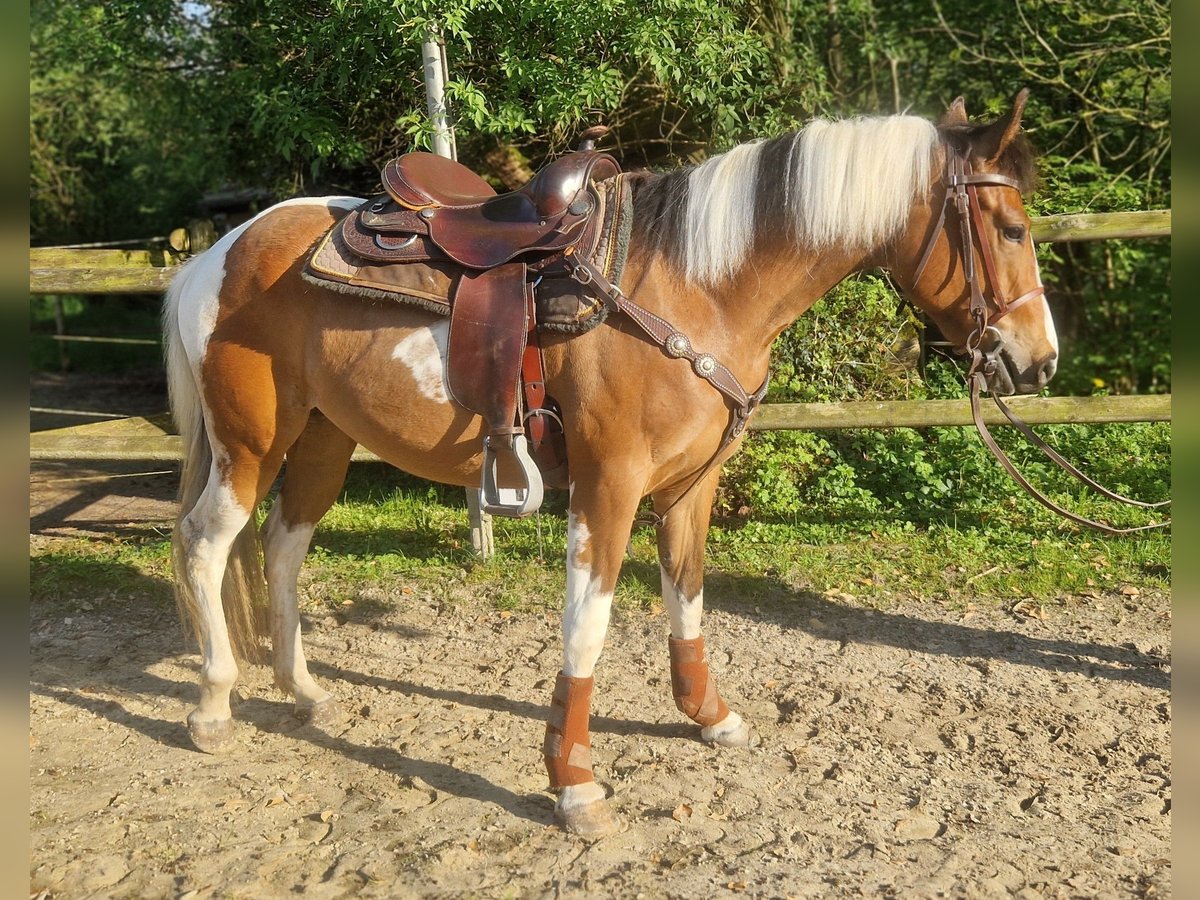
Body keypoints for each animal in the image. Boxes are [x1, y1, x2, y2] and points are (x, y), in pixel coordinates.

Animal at [162, 90, 1057, 836]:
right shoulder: (609, 486)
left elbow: (687, 596)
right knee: (207, 545)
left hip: (322, 440)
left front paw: (708, 715)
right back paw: (213, 707)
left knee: (283, 547)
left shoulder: (691, 485)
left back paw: (305, 692)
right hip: (250, 443)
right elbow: (585, 628)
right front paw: (574, 783)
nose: (1039, 360)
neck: (697, 284)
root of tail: (220, 252)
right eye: (1012, 230)